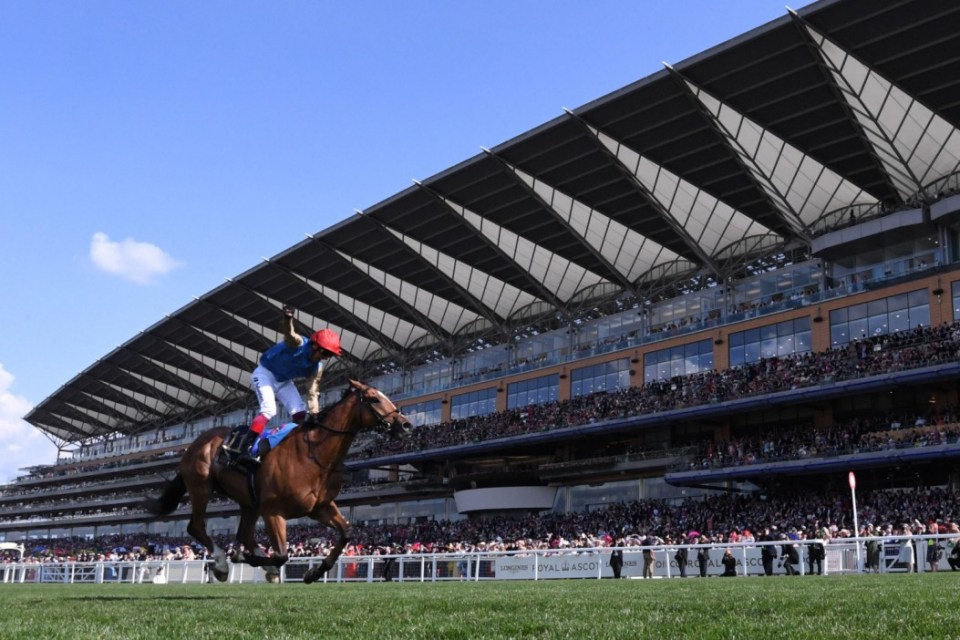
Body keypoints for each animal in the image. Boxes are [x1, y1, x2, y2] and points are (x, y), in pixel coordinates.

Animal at [141, 380, 410, 584]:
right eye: (374, 399)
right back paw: (222, 563)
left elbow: (345, 533)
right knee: (196, 527)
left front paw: (315, 571)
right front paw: (240, 557)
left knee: (243, 533)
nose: (405, 424)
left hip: (248, 501)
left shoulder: (319, 507)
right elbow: (281, 555)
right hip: (201, 487)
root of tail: (196, 443)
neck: (314, 454)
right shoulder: (273, 510)